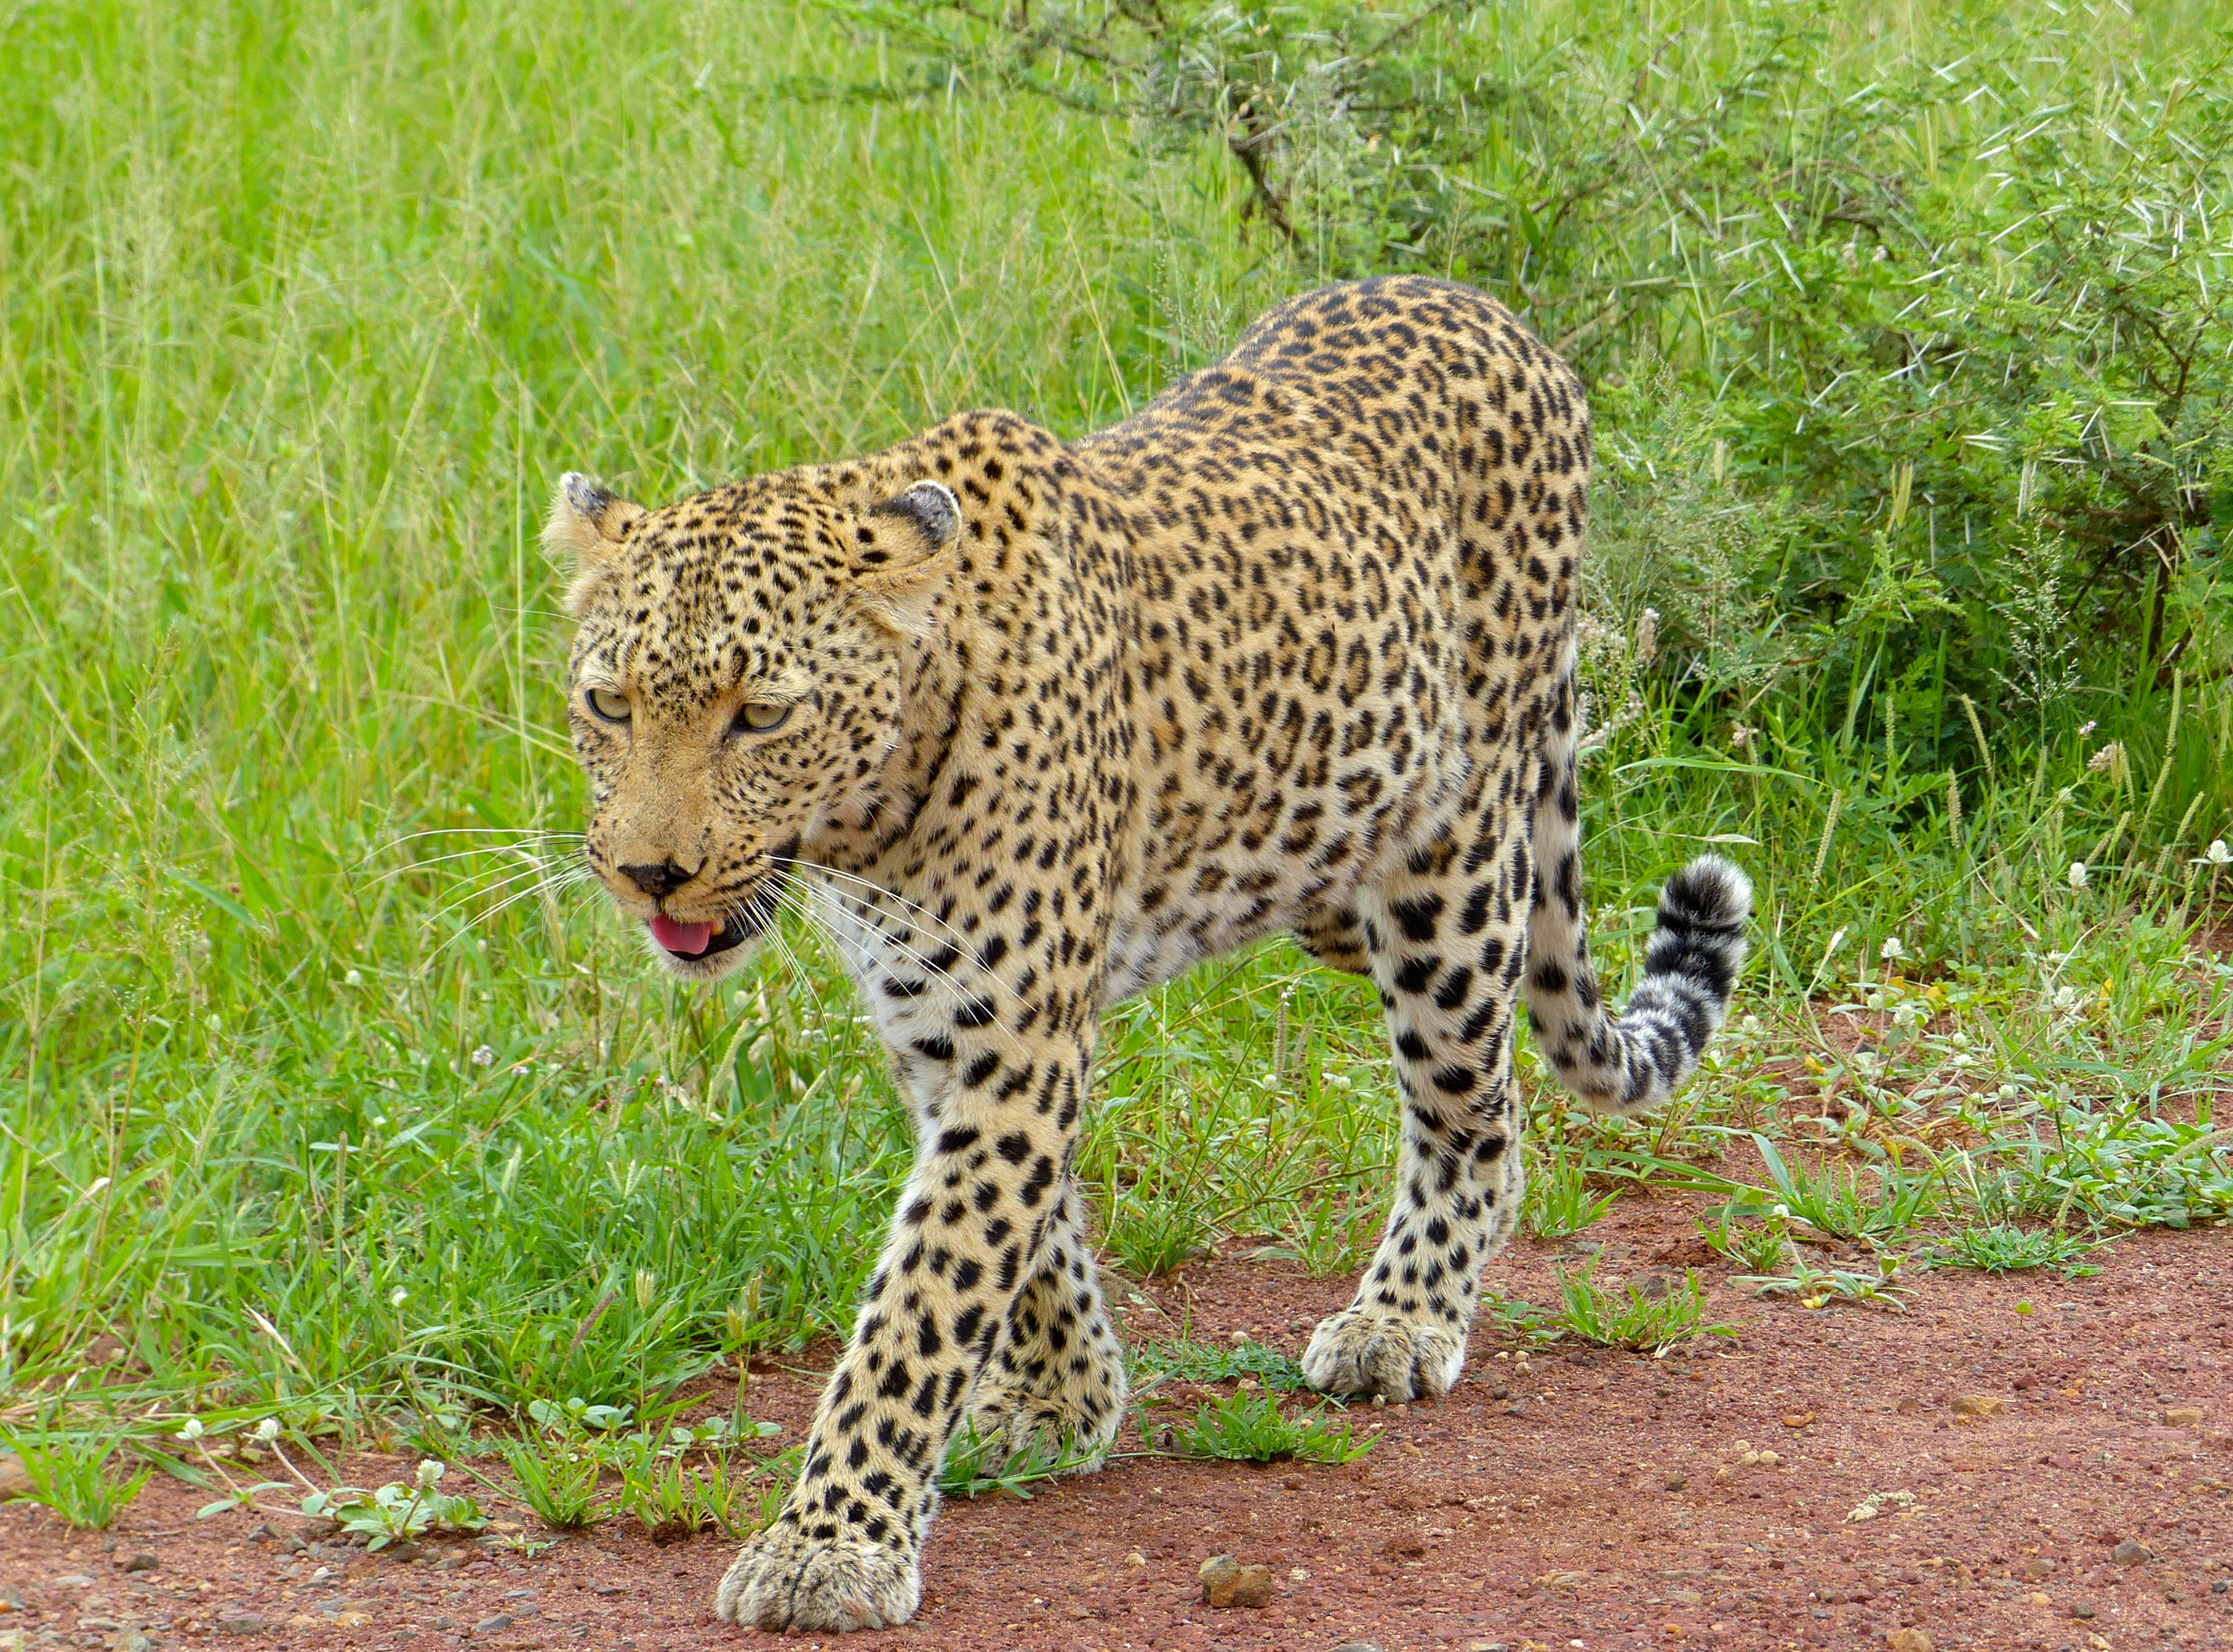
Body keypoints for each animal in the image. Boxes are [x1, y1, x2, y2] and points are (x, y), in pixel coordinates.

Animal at [549, 278, 1750, 1634]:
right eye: (608, 704)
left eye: (762, 715)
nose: (648, 871)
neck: (872, 817)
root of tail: (1490, 310)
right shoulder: (949, 1024)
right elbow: (1024, 1238)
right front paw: (1064, 1393)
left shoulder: (1013, 1036)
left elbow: (922, 1299)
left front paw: (831, 1544)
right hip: (1343, 865)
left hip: (1448, 863)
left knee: (1474, 1102)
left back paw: (1403, 1317)